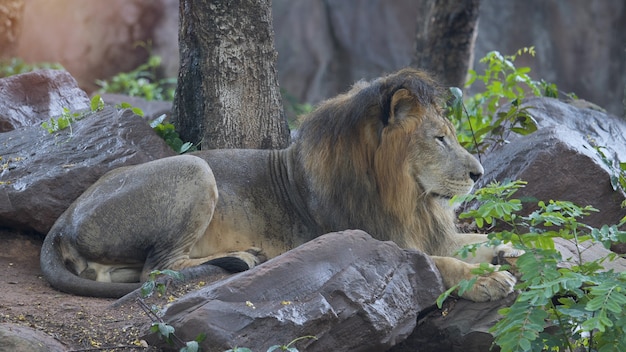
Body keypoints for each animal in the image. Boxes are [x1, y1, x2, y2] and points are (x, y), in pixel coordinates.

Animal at [40, 68, 516, 300]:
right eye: (439, 139)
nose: (479, 173)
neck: (408, 199)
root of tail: (62, 219)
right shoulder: (371, 240)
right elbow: (442, 263)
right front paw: (491, 279)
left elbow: (469, 243)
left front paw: (510, 250)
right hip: (195, 169)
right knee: (156, 269)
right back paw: (244, 258)